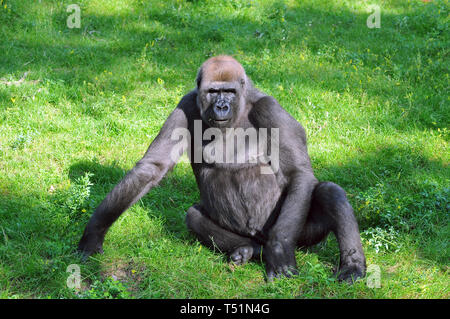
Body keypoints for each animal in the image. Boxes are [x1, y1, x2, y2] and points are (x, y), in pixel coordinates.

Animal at [77, 56, 366, 284]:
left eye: (229, 91)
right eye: (213, 91)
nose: (222, 106)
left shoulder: (269, 107)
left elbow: (298, 173)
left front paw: (280, 251)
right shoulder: (186, 103)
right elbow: (152, 167)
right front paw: (94, 232)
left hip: (300, 235)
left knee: (329, 192)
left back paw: (351, 267)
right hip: (243, 233)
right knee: (194, 216)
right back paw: (248, 250)